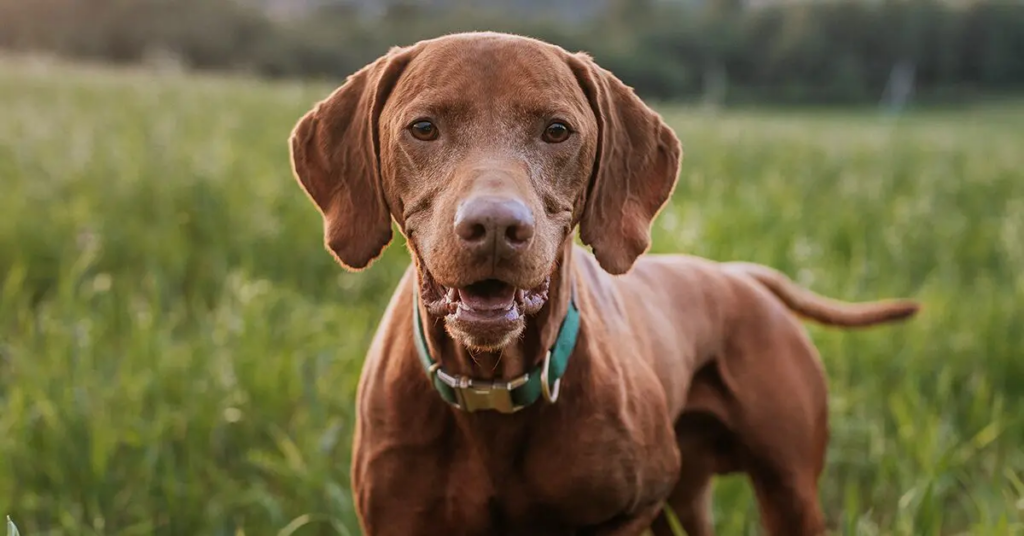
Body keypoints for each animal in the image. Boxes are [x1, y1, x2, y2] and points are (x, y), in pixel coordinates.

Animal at [286, 30, 921, 536]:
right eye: (423, 127)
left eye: (557, 130)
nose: (495, 227)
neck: (491, 388)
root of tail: (738, 276)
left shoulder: (624, 514)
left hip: (786, 493)